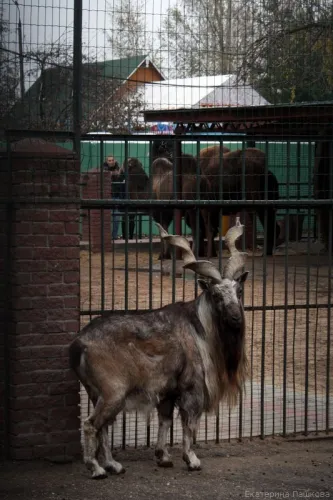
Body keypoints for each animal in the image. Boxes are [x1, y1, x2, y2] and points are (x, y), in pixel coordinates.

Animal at [69, 221, 246, 478]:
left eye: (239, 291)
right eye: (215, 294)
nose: (235, 319)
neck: (199, 327)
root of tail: (78, 344)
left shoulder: (167, 393)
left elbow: (165, 421)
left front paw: (163, 457)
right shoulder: (191, 389)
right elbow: (189, 424)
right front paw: (192, 460)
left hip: (96, 393)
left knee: (103, 427)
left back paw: (113, 465)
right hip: (113, 393)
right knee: (91, 425)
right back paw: (97, 468)